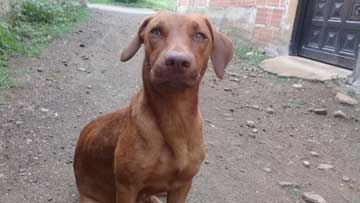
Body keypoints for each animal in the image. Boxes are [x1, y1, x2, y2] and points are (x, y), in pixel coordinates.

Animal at [74, 11, 233, 203]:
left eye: (200, 35)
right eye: (155, 31)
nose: (177, 61)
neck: (174, 117)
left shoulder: (182, 186)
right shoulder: (127, 187)